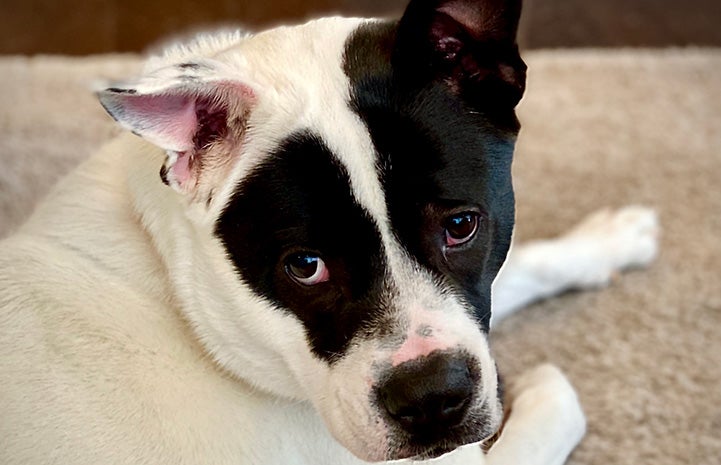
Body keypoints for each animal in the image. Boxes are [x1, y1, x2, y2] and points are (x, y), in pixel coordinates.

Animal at [0, 0, 660, 464]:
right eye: (304, 265)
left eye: (460, 225)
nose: (432, 400)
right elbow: (559, 406)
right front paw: (539, 384)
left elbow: (521, 264)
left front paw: (608, 239)